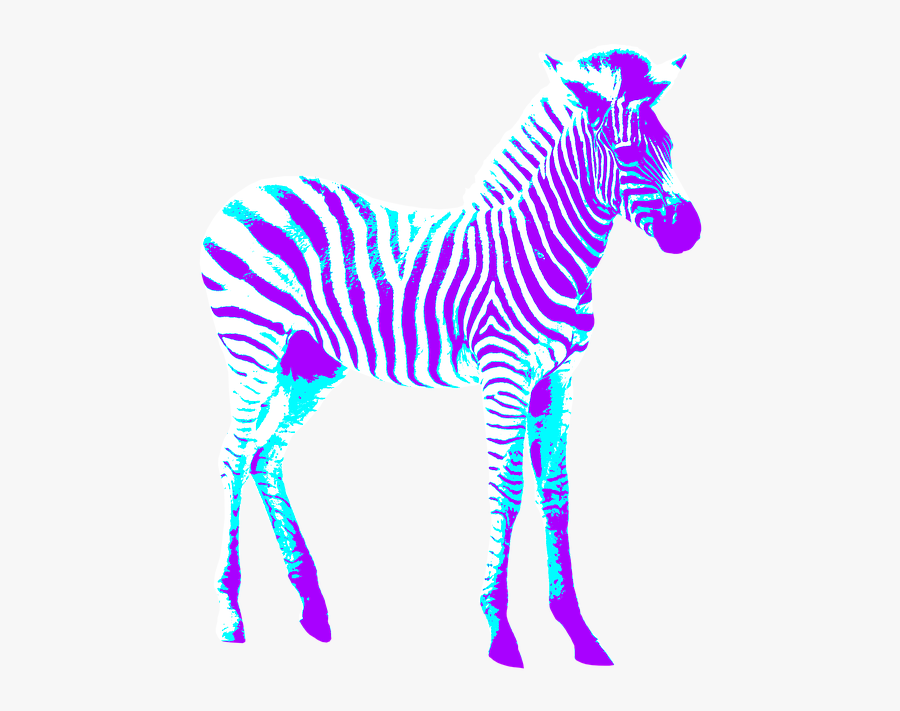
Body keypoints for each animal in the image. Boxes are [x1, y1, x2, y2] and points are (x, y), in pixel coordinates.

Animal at [200, 46, 701, 668]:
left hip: (311, 364)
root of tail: (247, 192)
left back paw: (312, 609)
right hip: (254, 347)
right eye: (630, 152)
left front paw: (580, 634)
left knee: (265, 455)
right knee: (233, 459)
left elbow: (556, 491)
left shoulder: (557, 380)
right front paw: (500, 632)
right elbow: (507, 490)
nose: (690, 231)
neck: (545, 248)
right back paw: (231, 616)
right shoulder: (504, 374)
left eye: (672, 147)